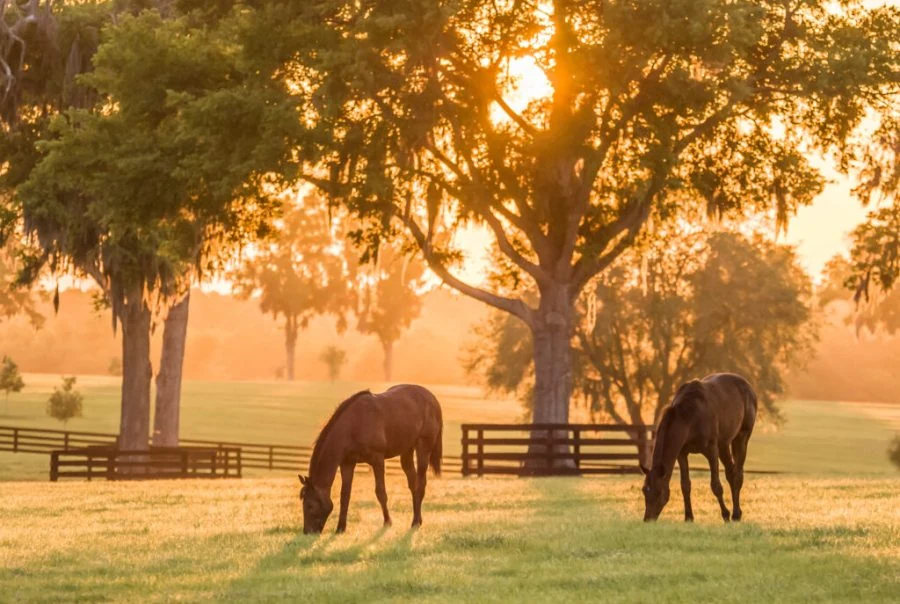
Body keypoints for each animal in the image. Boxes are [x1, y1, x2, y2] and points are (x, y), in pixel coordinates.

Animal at [298, 384, 443, 534]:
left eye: (310, 505)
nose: (307, 532)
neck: (353, 425)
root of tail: (432, 398)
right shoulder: (347, 463)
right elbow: (345, 495)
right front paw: (340, 528)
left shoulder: (377, 460)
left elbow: (381, 492)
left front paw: (387, 522)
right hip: (407, 450)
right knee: (413, 484)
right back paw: (417, 520)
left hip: (423, 448)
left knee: (420, 484)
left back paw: (415, 523)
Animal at [640, 373, 757, 522]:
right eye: (644, 490)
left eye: (658, 491)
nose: (648, 519)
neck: (689, 417)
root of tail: (748, 386)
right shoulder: (682, 454)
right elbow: (685, 485)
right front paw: (688, 517)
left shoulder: (711, 451)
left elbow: (716, 486)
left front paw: (725, 515)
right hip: (724, 445)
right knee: (731, 473)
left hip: (741, 437)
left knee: (737, 475)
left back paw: (736, 514)